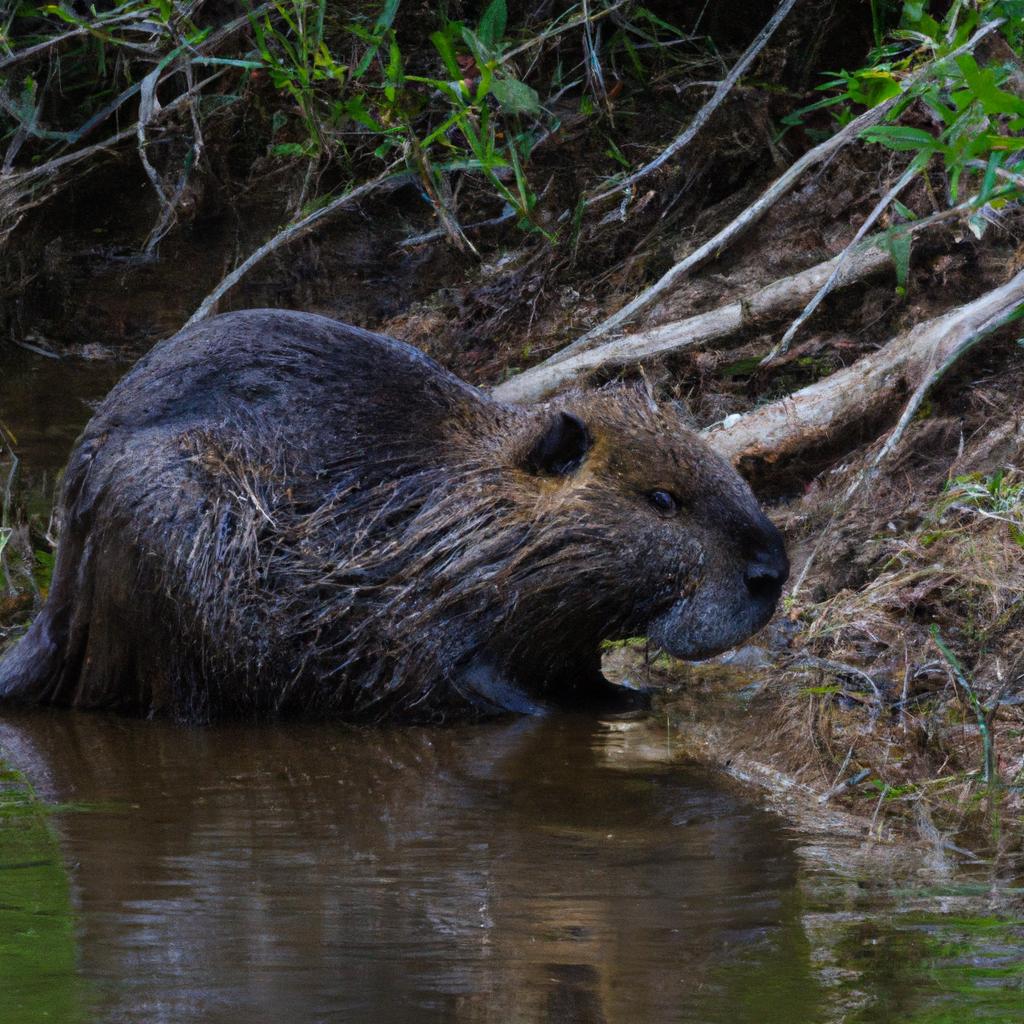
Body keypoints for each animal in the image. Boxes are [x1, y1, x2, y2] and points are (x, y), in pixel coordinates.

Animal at [0, 309, 786, 720]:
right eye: (663, 500)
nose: (770, 572)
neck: (450, 513)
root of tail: (55, 604)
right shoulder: (419, 609)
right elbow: (457, 675)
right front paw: (564, 709)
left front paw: (622, 693)